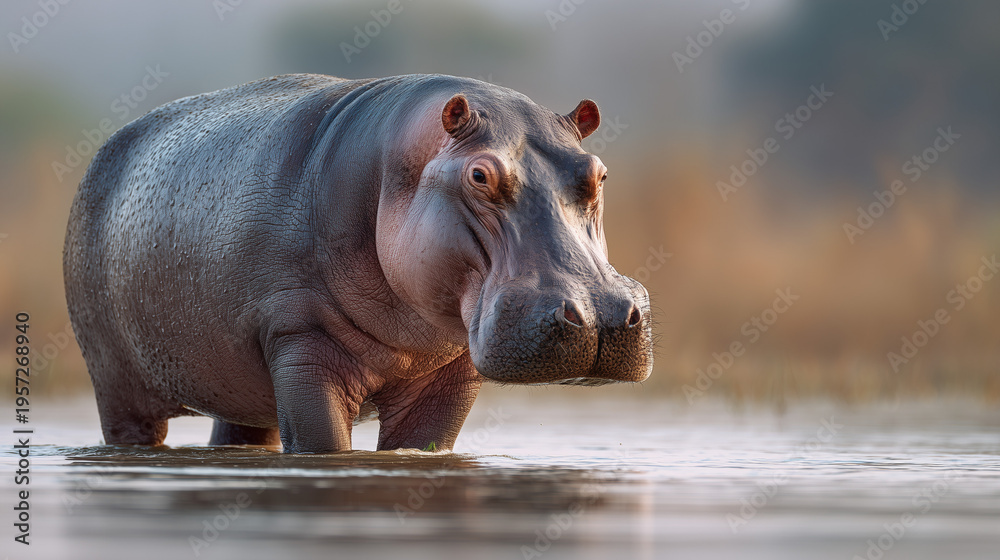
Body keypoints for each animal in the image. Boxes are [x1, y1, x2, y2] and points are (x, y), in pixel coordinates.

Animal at [63, 74, 652, 453]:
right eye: (480, 175)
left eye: (597, 171)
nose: (597, 316)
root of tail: (110, 144)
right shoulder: (300, 344)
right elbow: (322, 443)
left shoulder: (449, 373)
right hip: (116, 387)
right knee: (130, 429)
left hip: (239, 388)